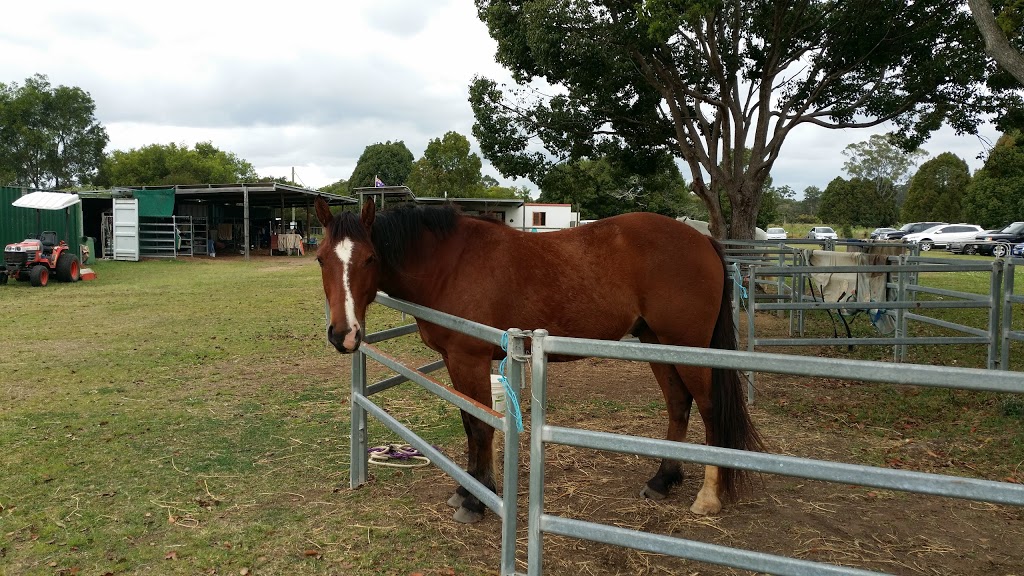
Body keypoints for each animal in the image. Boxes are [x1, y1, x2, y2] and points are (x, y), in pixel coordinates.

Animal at [315, 195, 765, 520]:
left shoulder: (468, 359)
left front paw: (476, 500)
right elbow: (469, 424)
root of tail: (702, 240)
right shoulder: (457, 362)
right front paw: (467, 489)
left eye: (370, 258)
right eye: (321, 258)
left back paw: (708, 497)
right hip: (657, 342)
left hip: (690, 348)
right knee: (678, 404)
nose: (344, 335)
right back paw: (662, 480)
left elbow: (480, 427)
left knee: (709, 409)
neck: (449, 263)